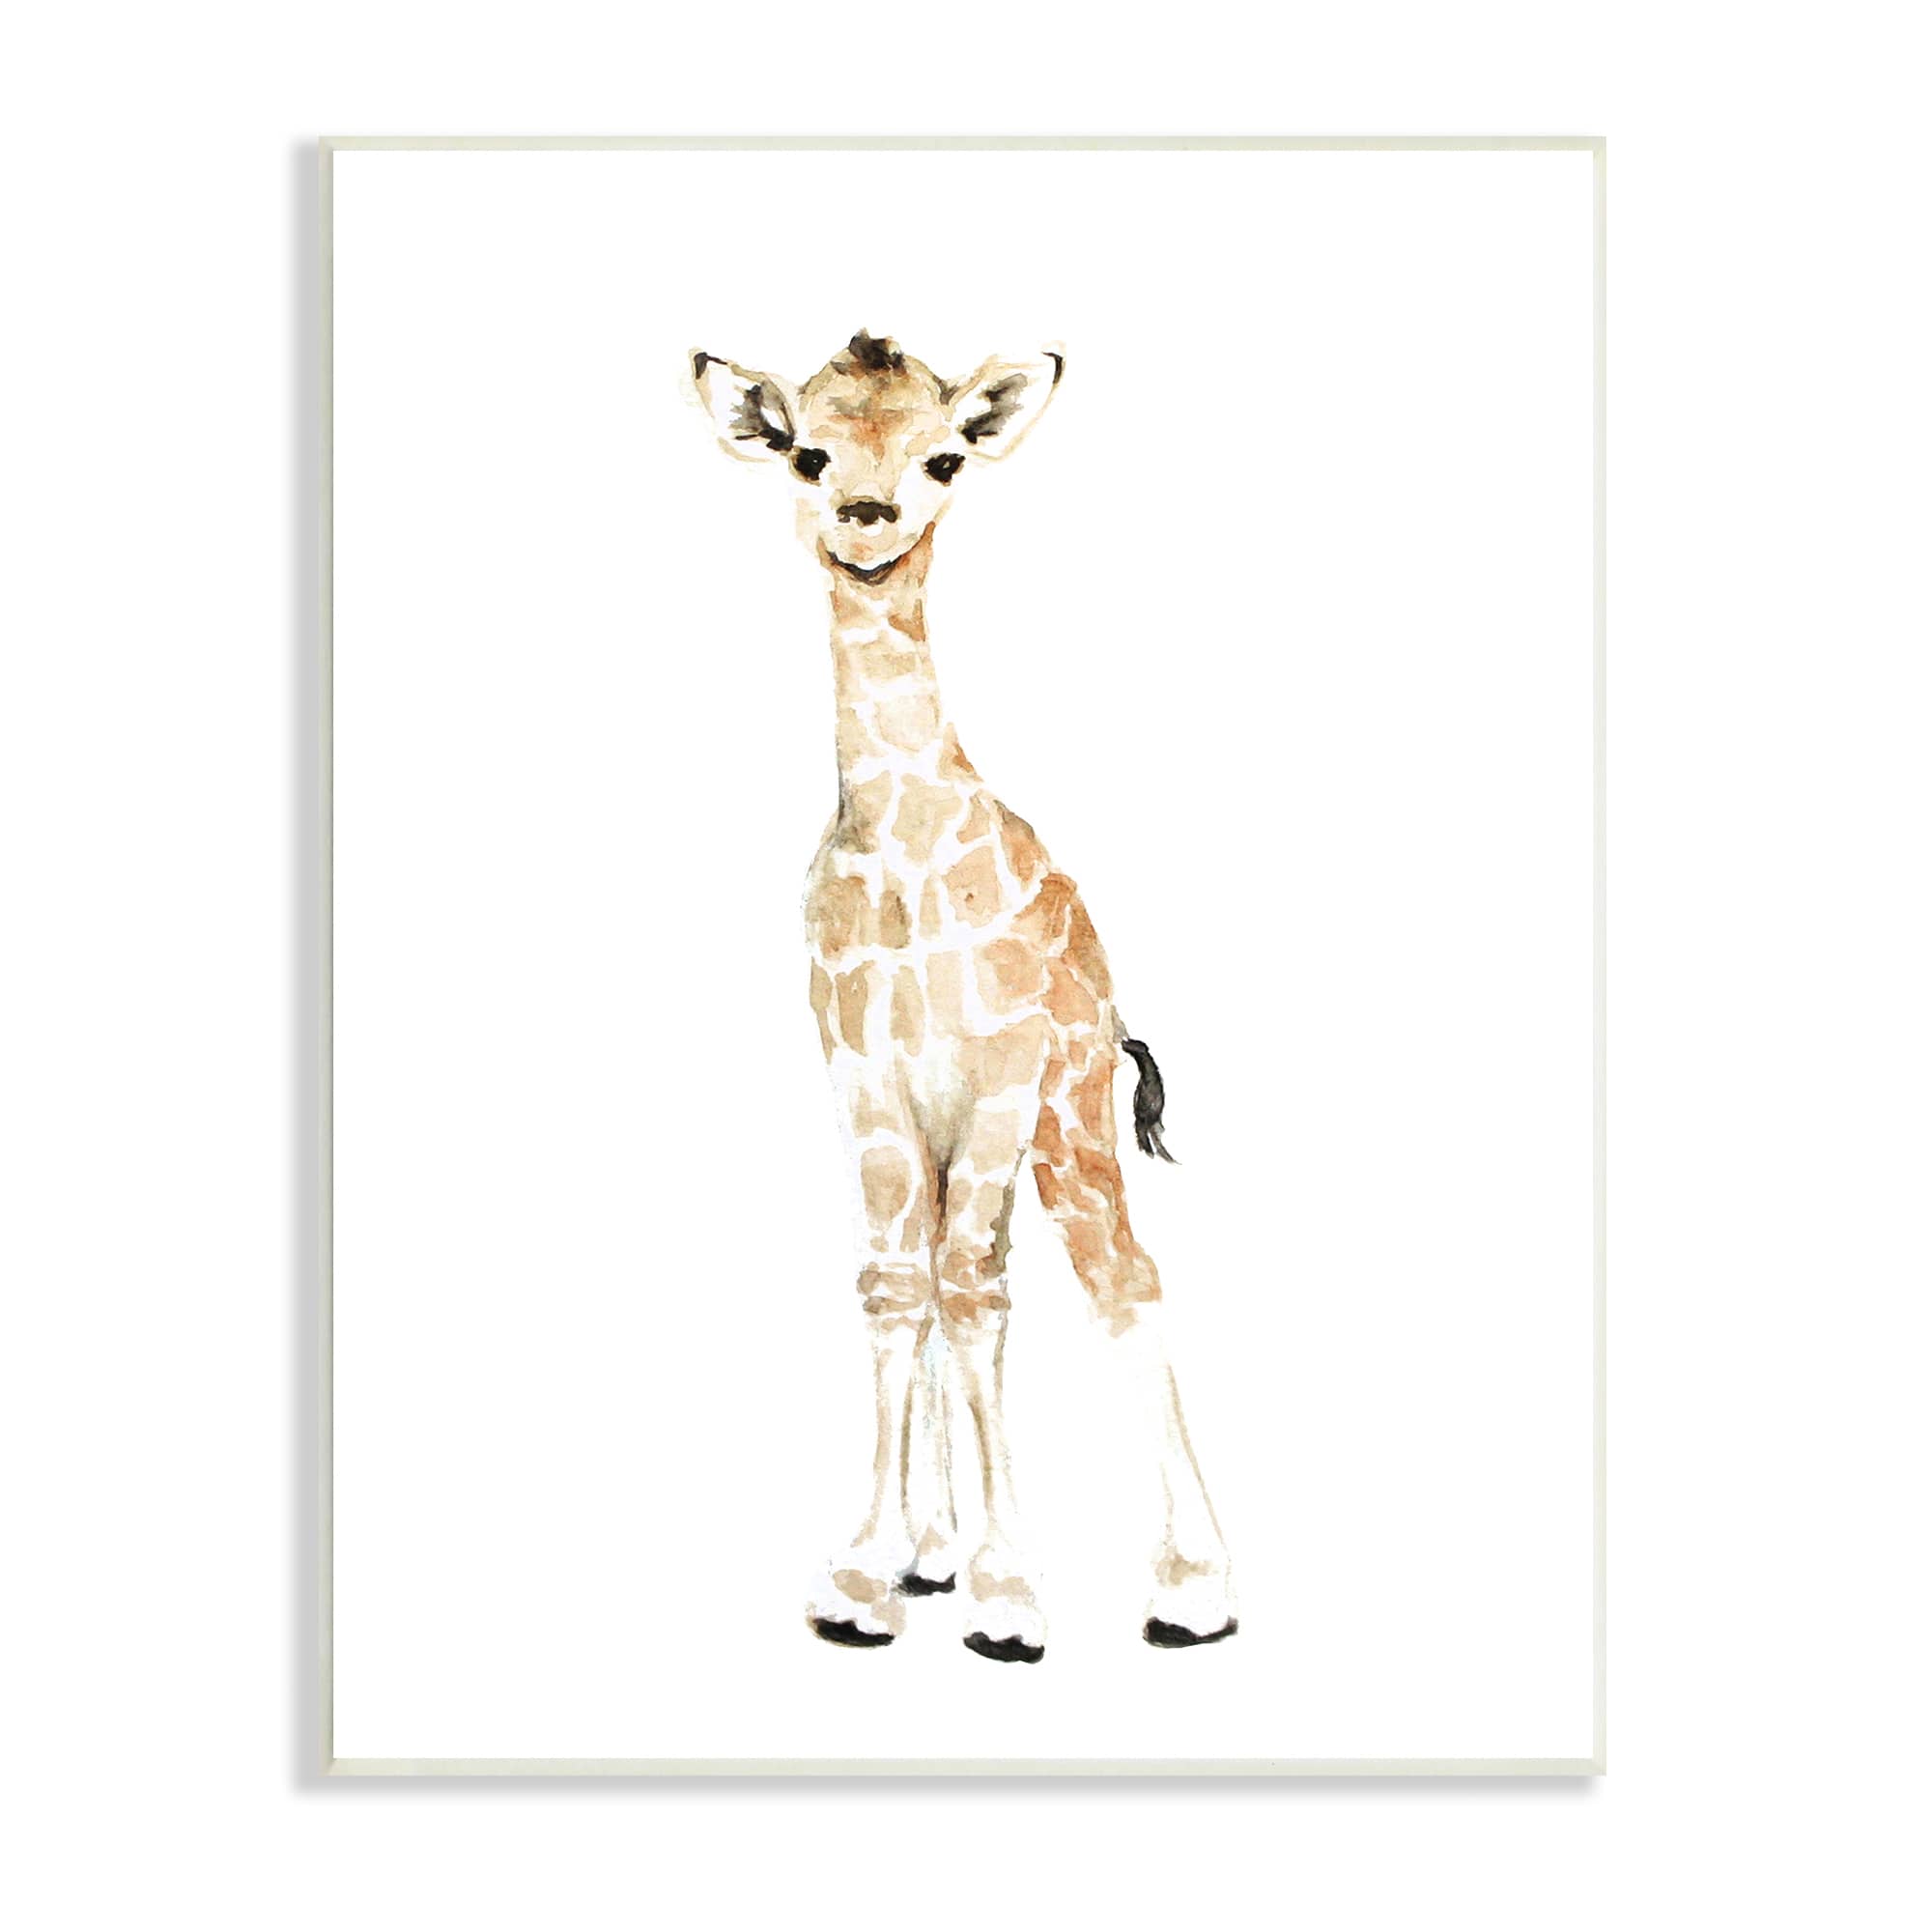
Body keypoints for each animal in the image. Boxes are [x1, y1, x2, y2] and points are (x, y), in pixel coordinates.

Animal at [690, 331, 1235, 1662]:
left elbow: (975, 1290)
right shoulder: (862, 1077)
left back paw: (1192, 1587)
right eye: (804, 449)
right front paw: (865, 1576)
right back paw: (932, 1554)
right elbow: (900, 1285)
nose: (865, 516)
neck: (900, 846)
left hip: (1070, 1114)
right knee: (954, 1277)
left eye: (942, 455)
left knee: (1119, 1278)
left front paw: (1008, 1594)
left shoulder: (995, 1072)